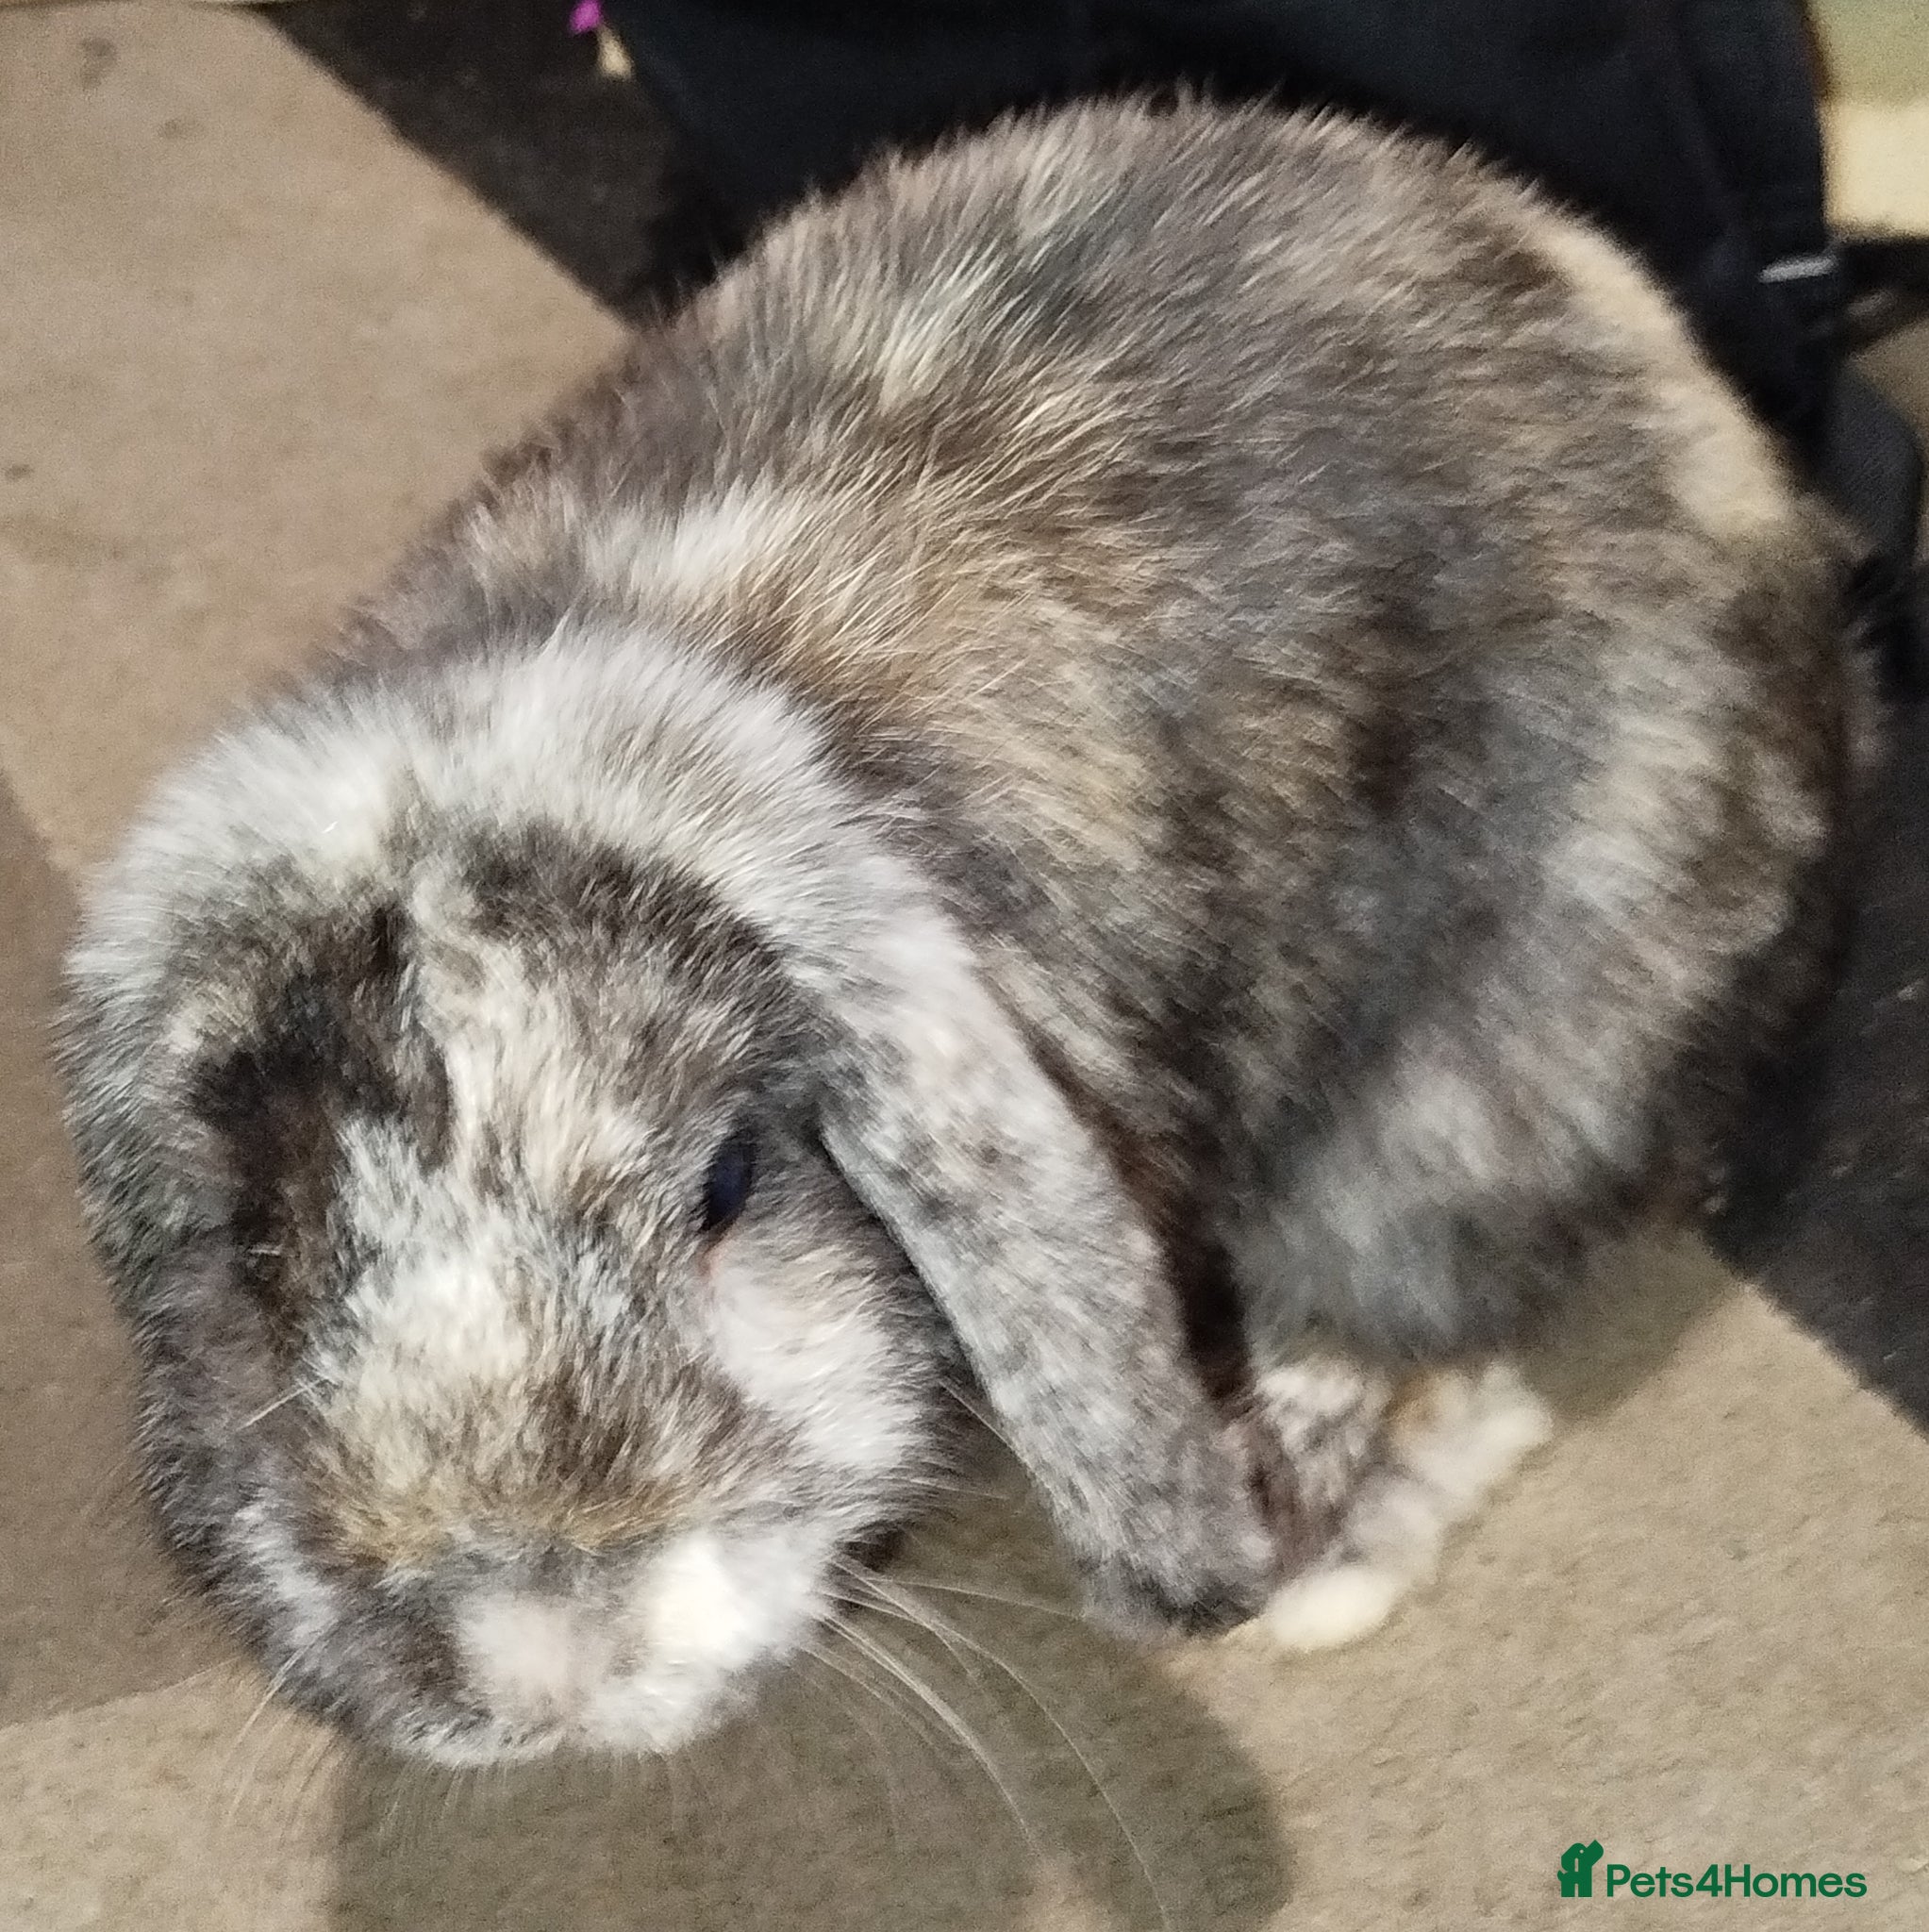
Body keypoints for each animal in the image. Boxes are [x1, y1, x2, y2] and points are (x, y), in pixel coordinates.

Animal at [60, 97, 1857, 1766]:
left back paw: (1316, 1534)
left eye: (728, 1186)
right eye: (263, 1252)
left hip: (1484, 1082)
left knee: (1436, 1315)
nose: (545, 1666)